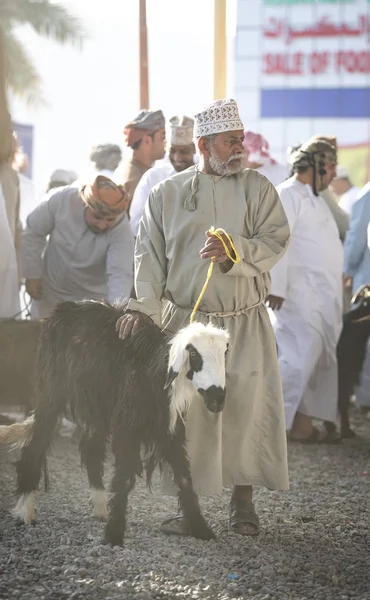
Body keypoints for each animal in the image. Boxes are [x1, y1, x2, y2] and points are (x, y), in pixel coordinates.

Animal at [13, 302, 230, 548]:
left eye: (224, 352)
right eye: (193, 353)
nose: (218, 400)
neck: (154, 371)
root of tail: (63, 308)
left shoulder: (170, 430)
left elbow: (184, 477)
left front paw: (202, 528)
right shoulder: (128, 427)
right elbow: (125, 479)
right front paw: (114, 534)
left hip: (97, 403)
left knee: (91, 448)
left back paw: (99, 507)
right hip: (51, 389)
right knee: (37, 442)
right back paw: (25, 511)